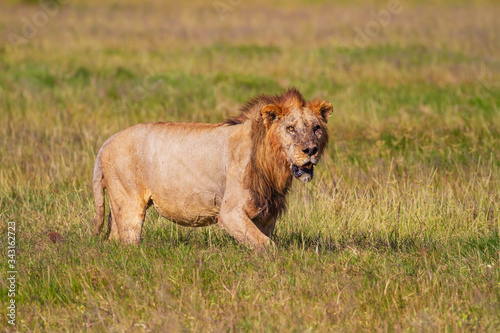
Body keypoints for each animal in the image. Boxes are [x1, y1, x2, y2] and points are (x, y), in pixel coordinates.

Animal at [94, 88, 334, 249]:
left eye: (316, 128)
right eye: (291, 128)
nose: (310, 150)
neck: (274, 165)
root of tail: (107, 142)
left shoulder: (267, 212)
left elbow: (260, 240)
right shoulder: (230, 213)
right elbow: (268, 246)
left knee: (113, 240)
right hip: (129, 204)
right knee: (128, 241)